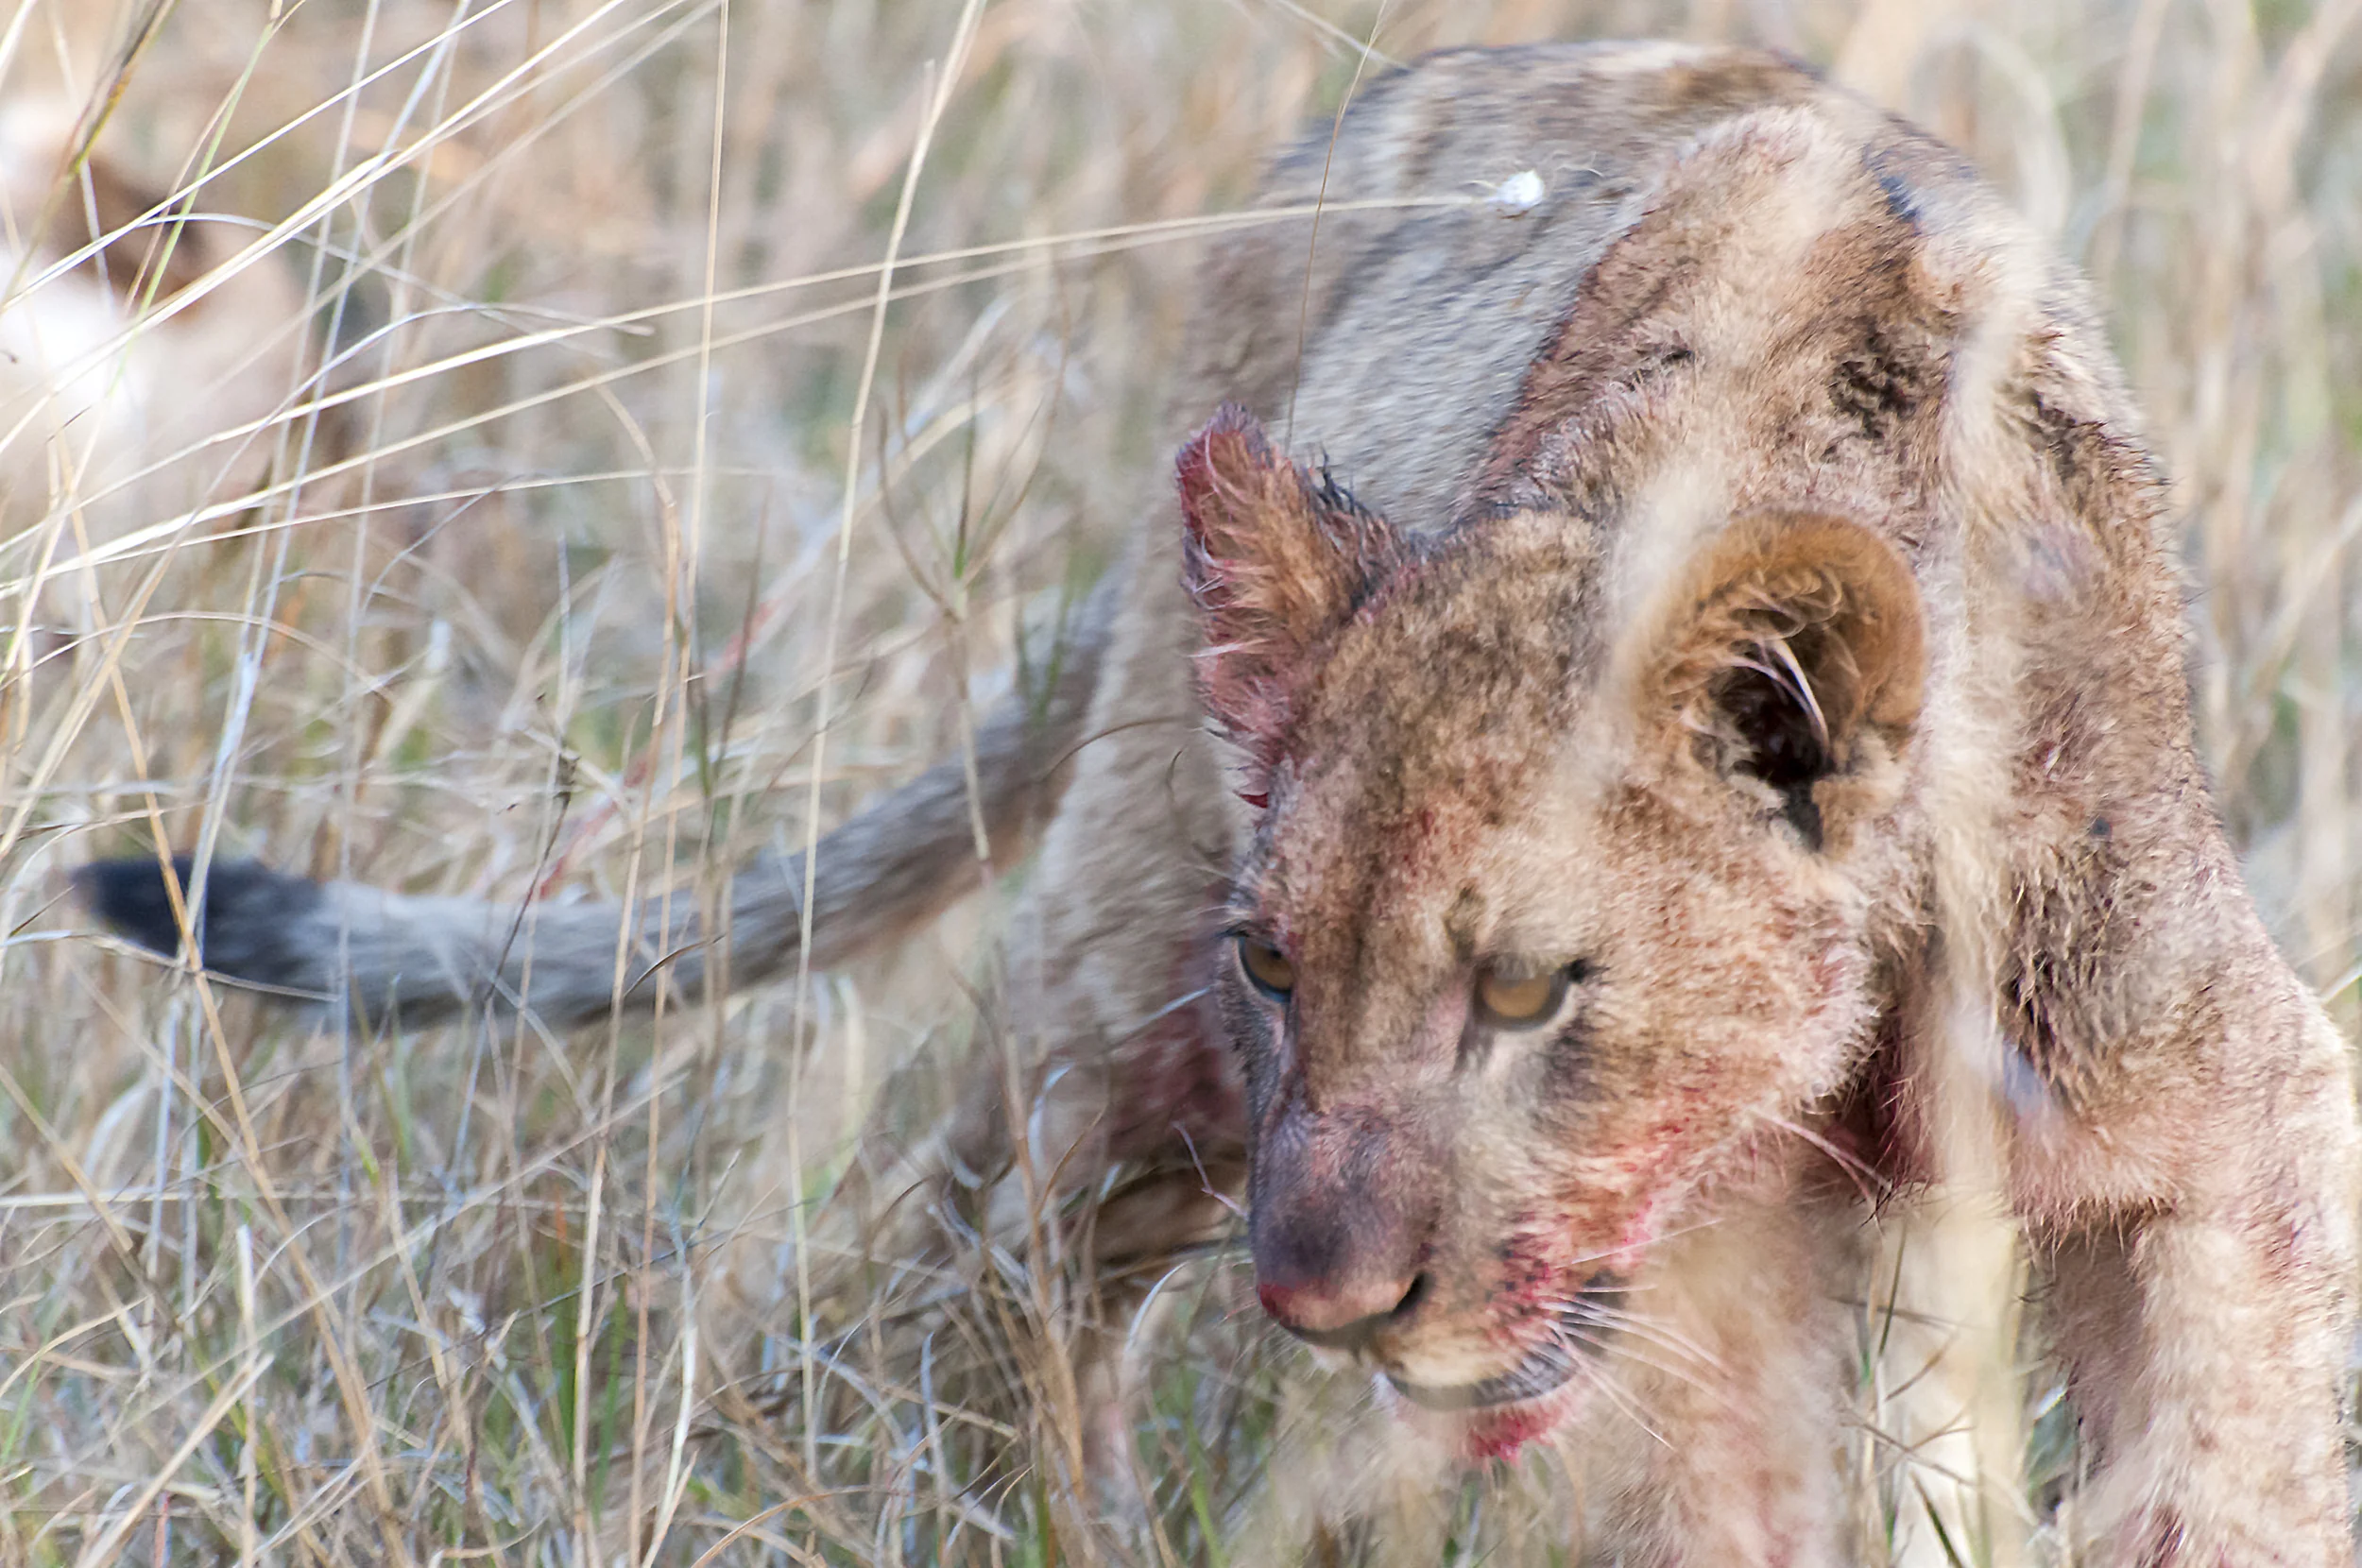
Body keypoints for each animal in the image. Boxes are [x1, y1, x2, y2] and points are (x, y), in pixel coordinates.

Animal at [81, 42, 2358, 1564]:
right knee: (993, 1229)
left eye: (1526, 992)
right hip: (1130, 970)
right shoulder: (1704, 1312)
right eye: (1279, 963)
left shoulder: (2219, 1134)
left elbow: (2219, 1464)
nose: (1326, 1299)